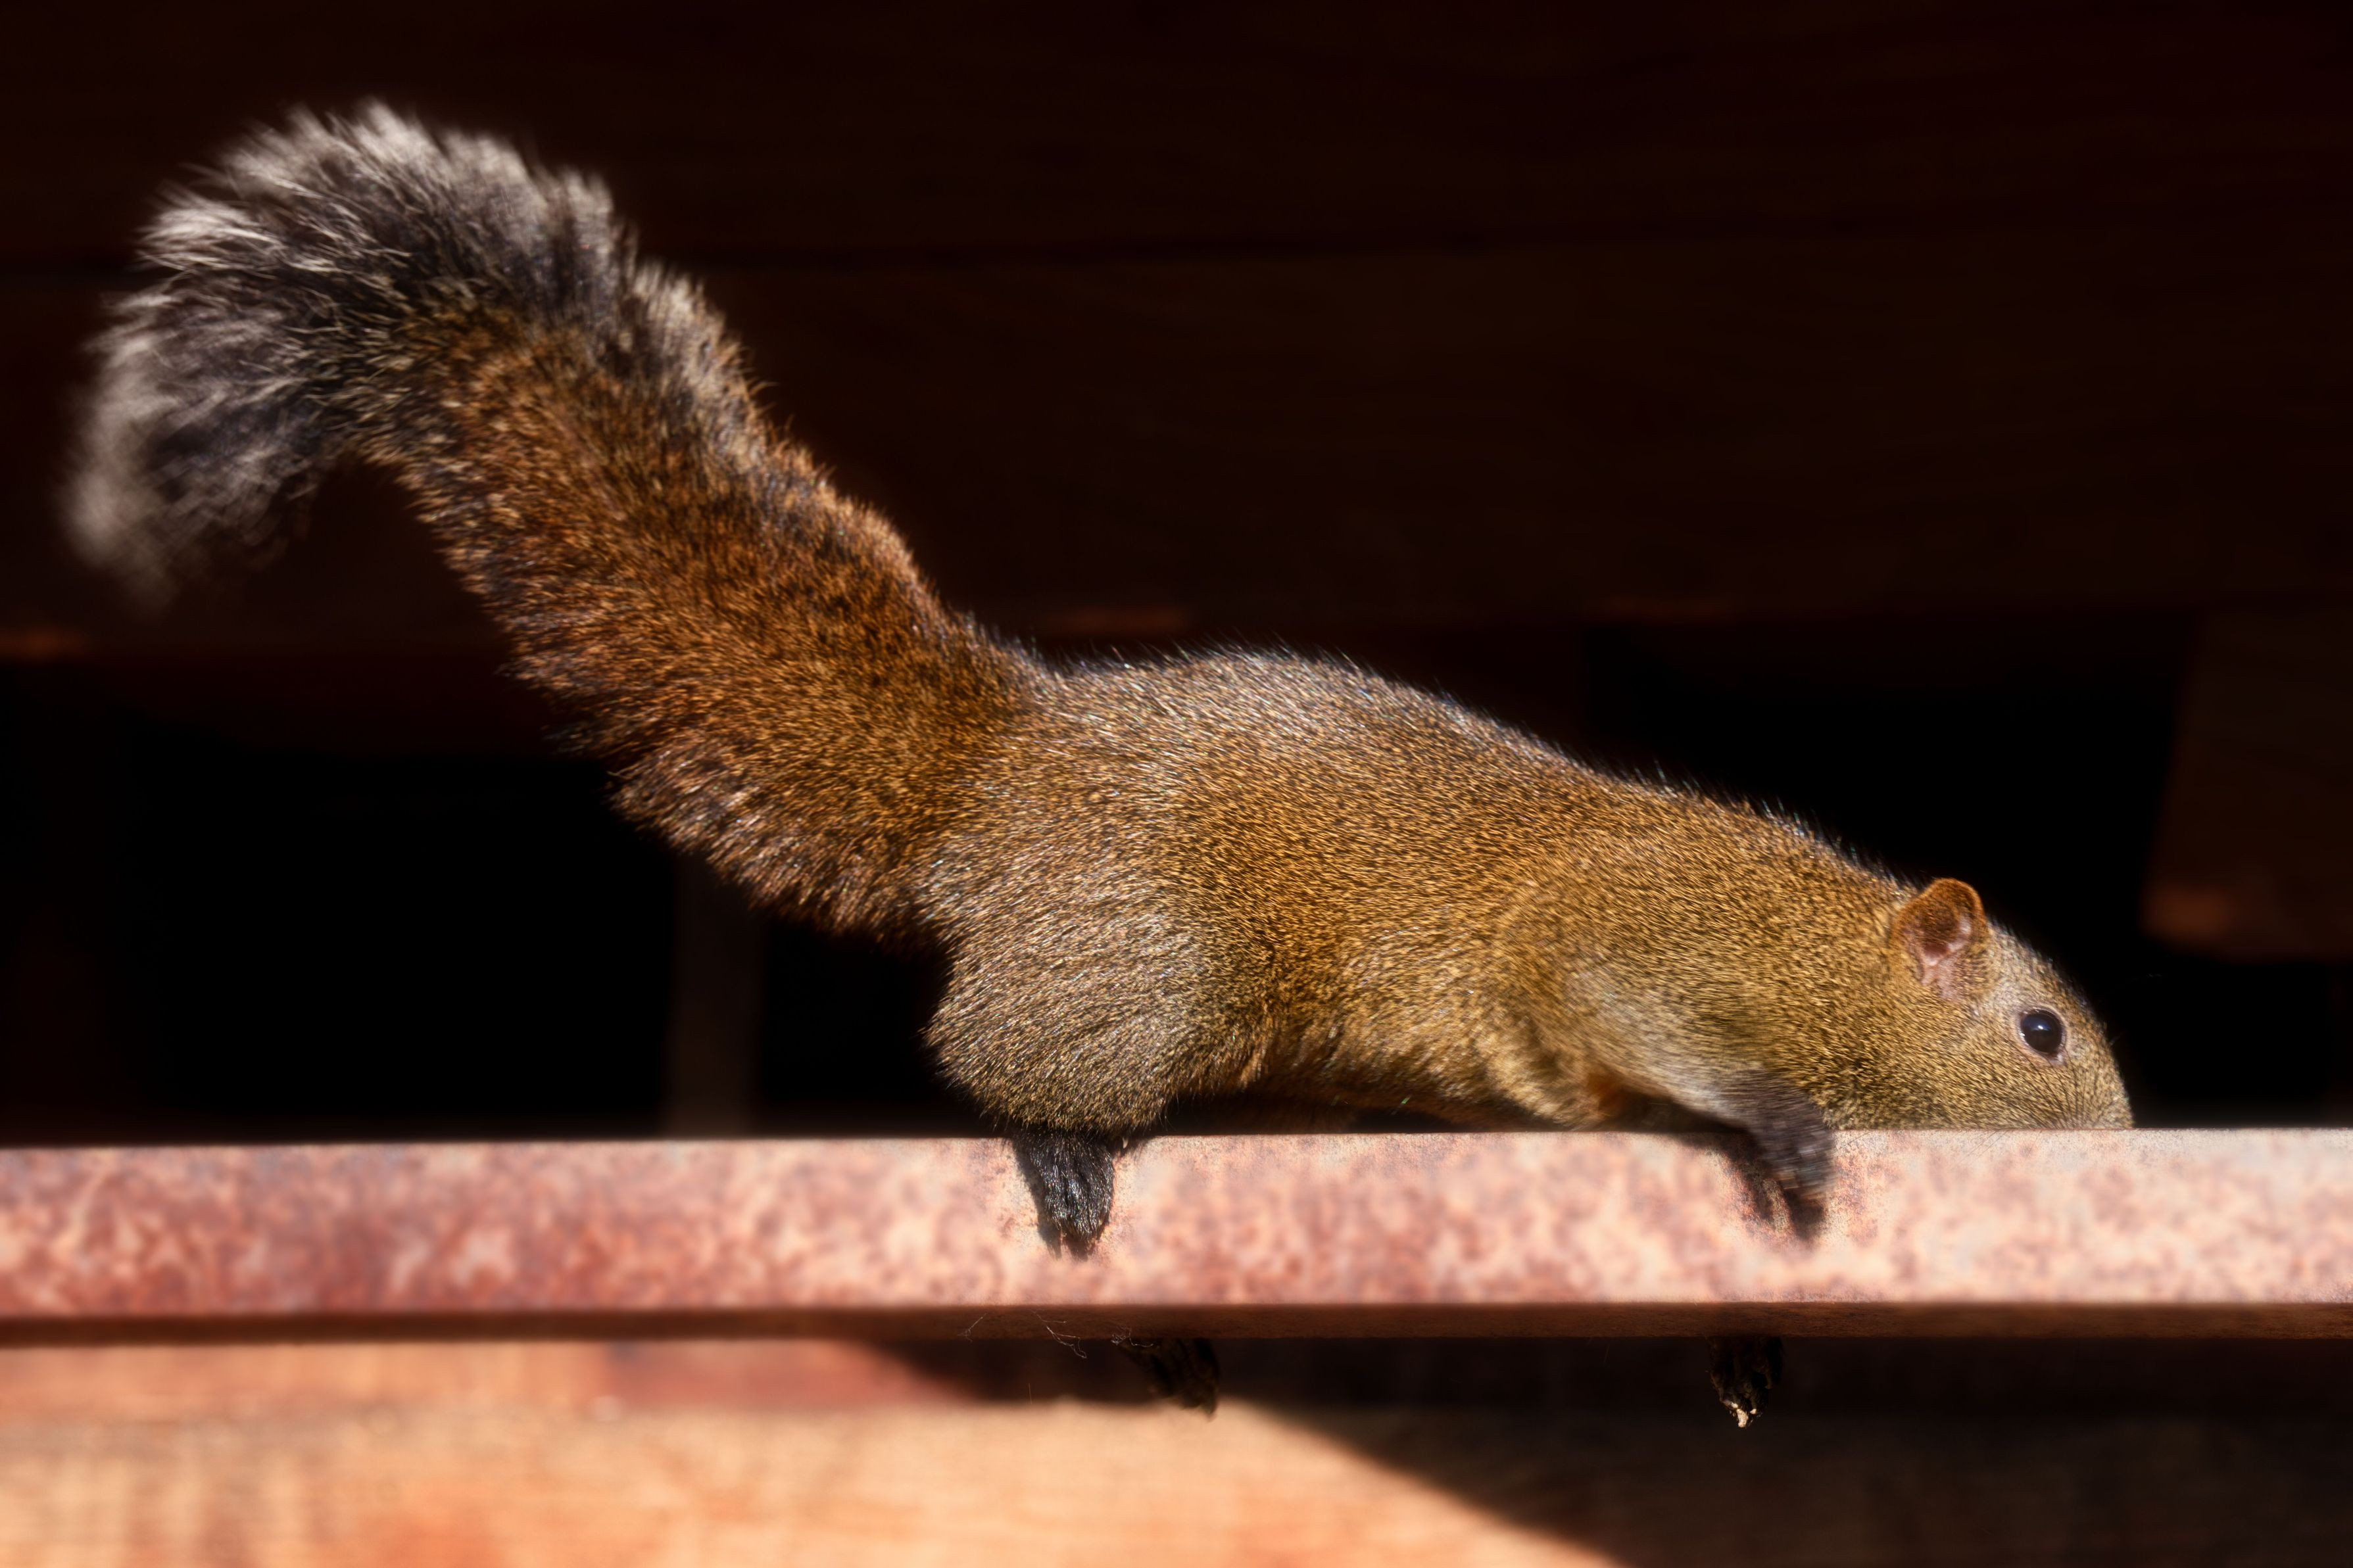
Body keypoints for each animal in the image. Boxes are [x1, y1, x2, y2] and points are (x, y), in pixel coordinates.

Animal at [68, 109, 2132, 1415]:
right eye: (2038, 1032)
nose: (2119, 1147)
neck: (1827, 943)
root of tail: (998, 771)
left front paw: (1745, 1346)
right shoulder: (1657, 933)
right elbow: (1652, 1024)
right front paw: (1779, 1130)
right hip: (1155, 968)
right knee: (996, 1057)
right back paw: (1057, 1150)